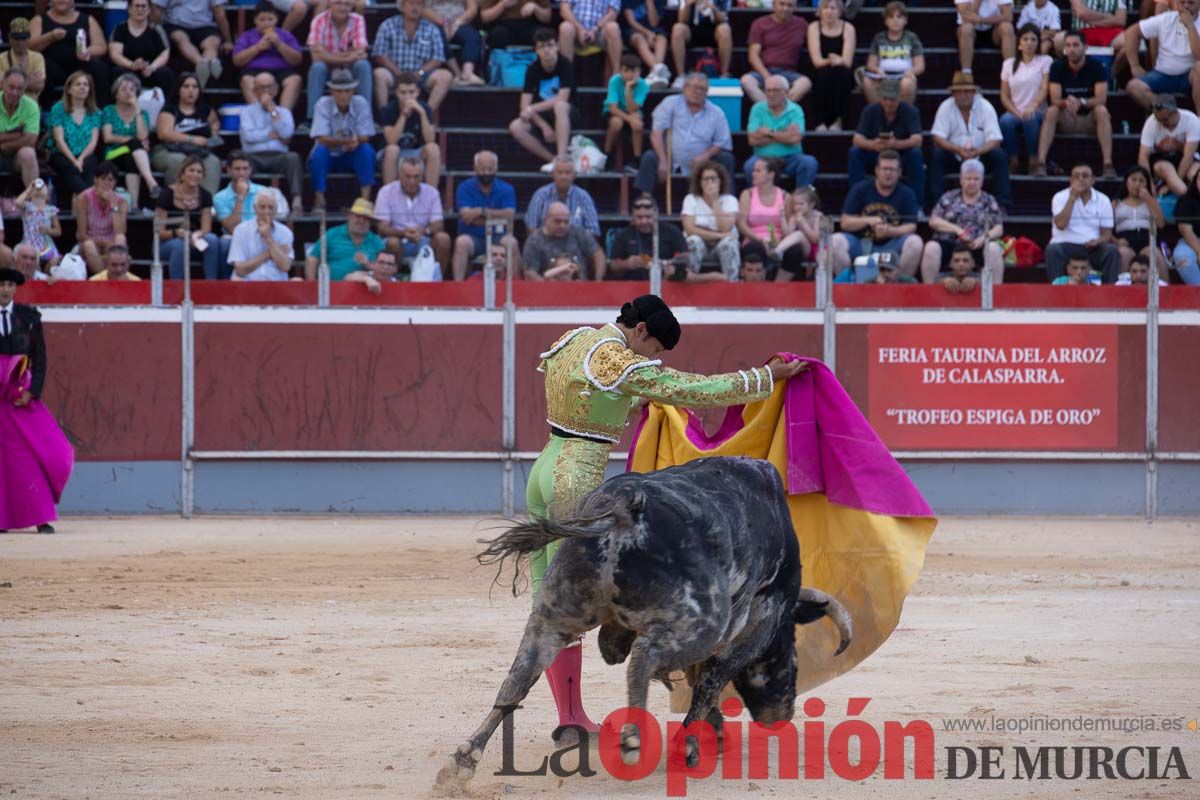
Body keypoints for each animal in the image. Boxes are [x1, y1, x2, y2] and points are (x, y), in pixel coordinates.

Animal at [436, 453, 849, 791]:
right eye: (790, 645)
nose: (782, 714)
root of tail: (624, 506)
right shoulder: (750, 629)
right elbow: (710, 681)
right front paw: (692, 744)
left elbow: (698, 679)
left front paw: (712, 732)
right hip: (700, 623)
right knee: (642, 661)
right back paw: (633, 738)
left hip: (553, 615)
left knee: (517, 681)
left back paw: (462, 763)